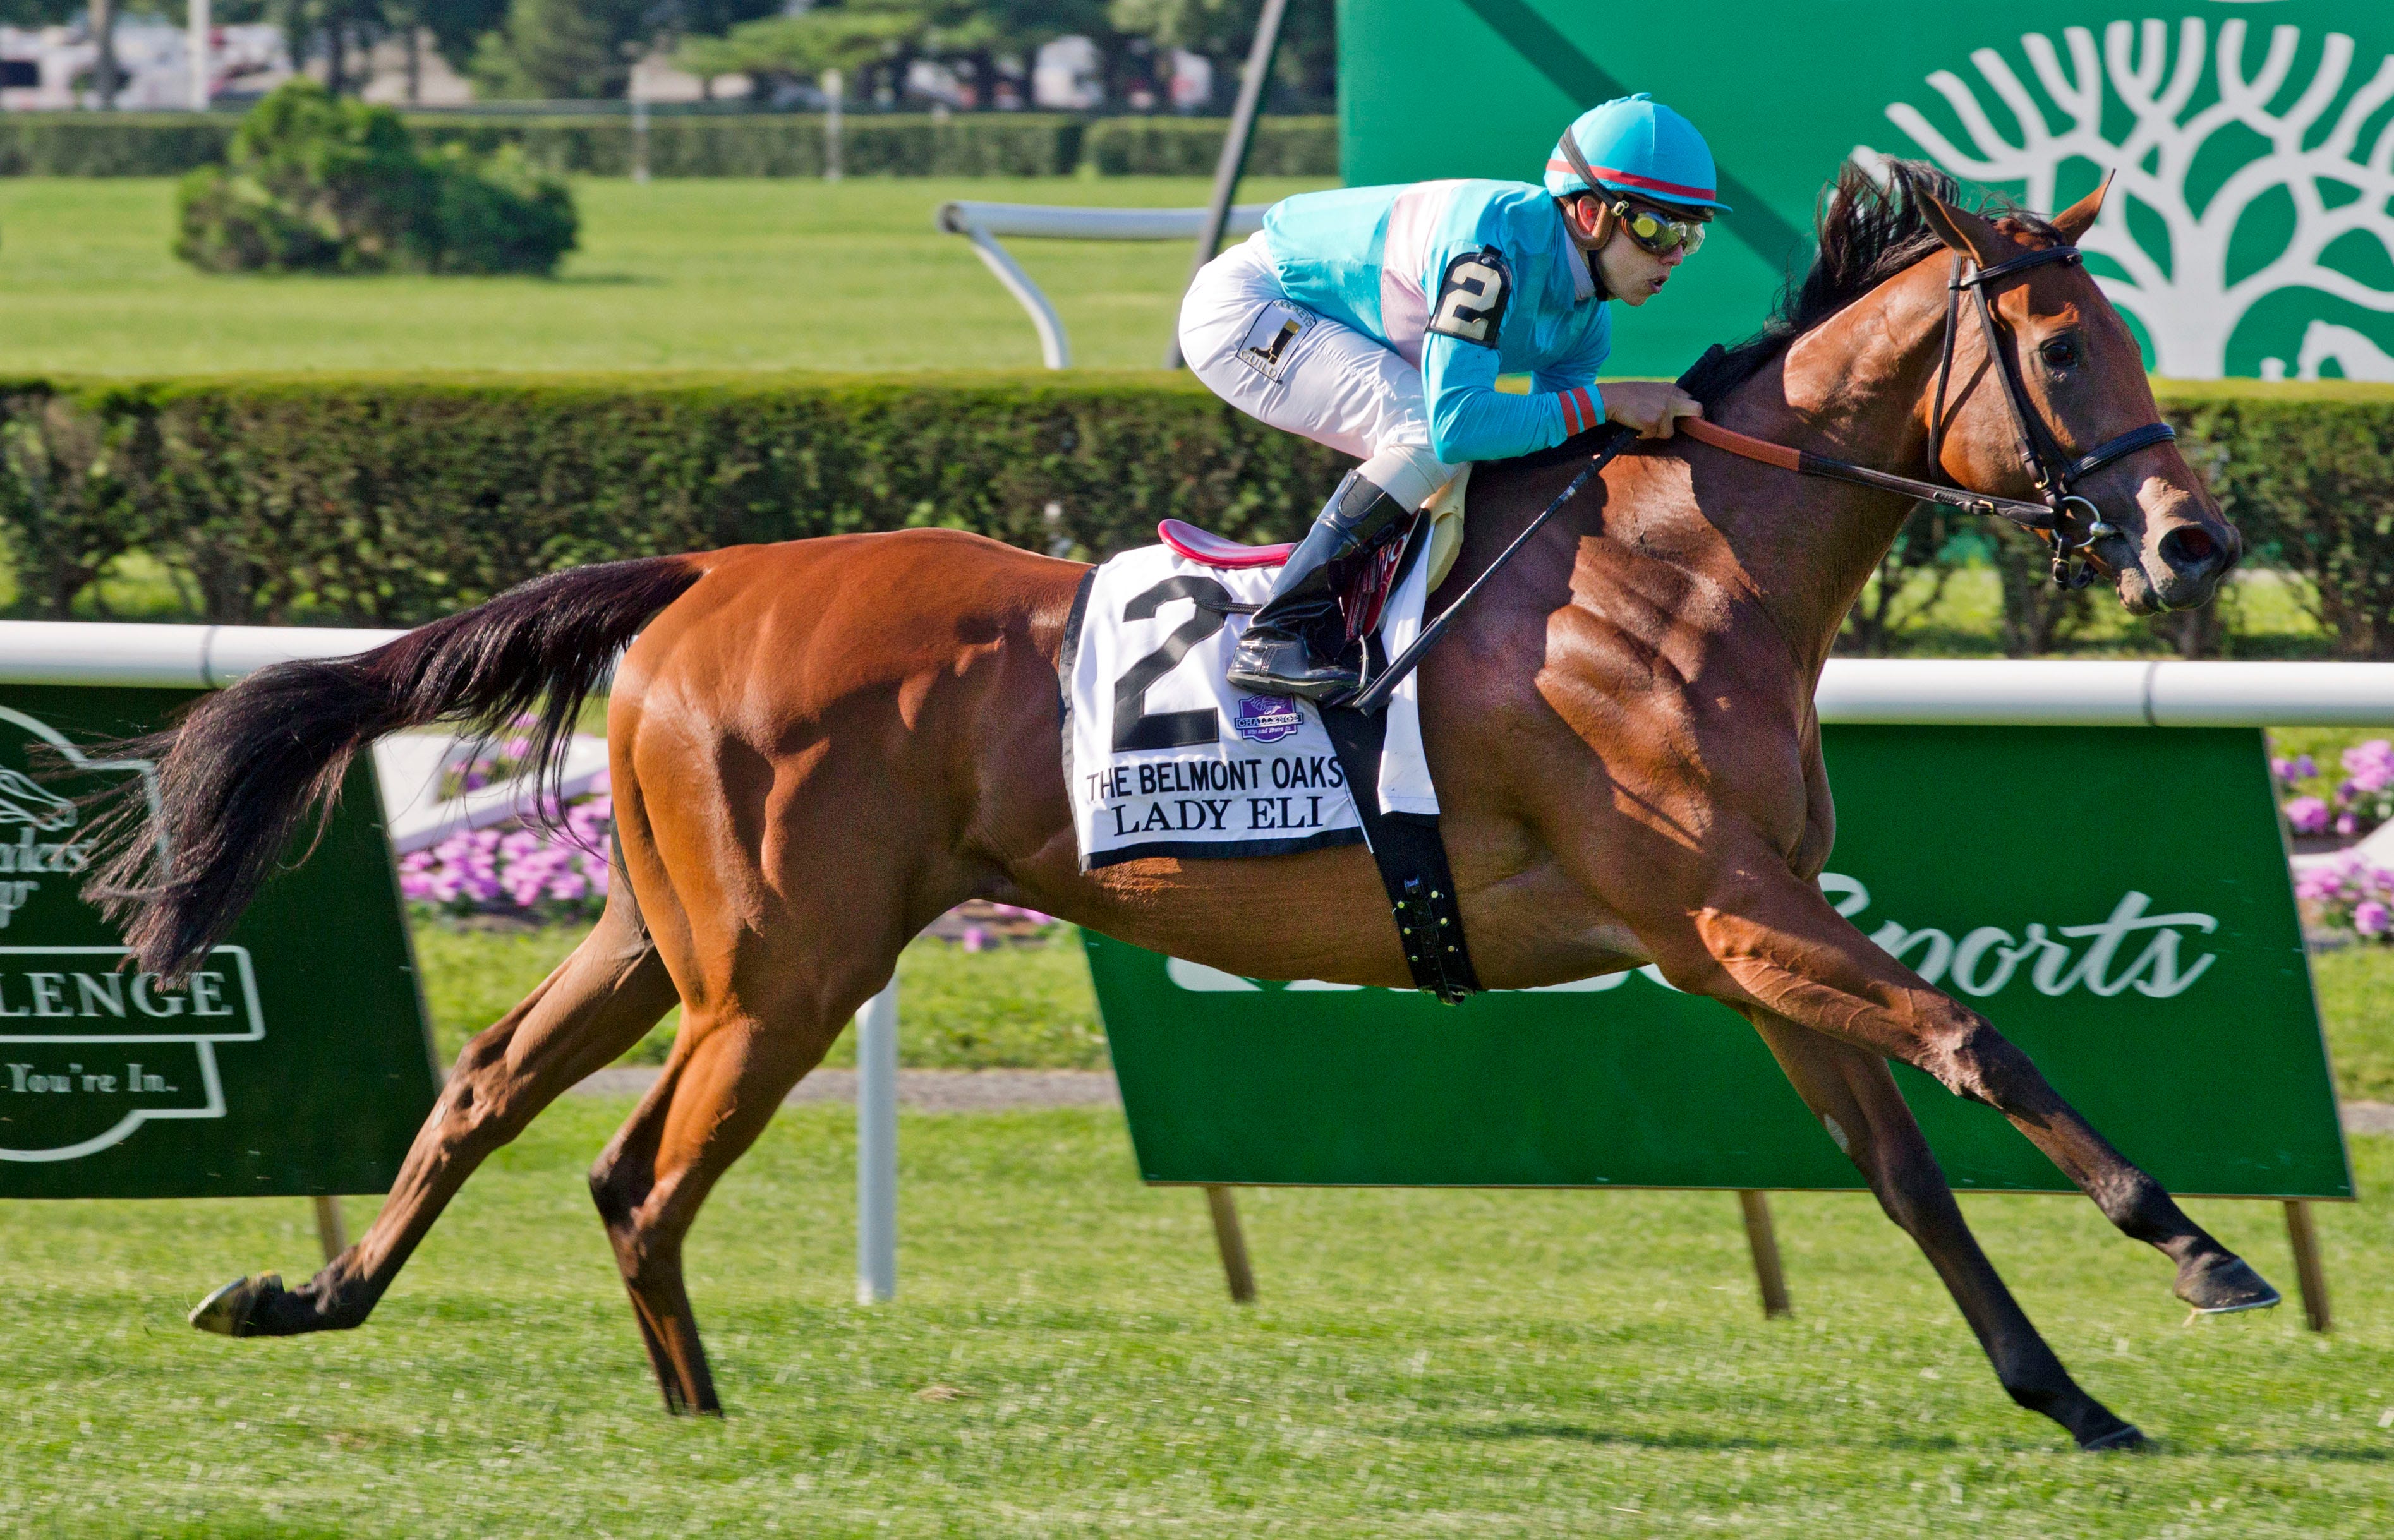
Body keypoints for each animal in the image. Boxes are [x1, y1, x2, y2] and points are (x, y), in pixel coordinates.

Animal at [98, 162, 2259, 1456]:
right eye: (2059, 345)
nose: (2194, 538)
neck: (1674, 569)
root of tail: (706, 571)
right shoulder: (1720, 905)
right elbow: (1974, 1032)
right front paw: (2196, 1248)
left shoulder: (1732, 936)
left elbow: (1901, 1164)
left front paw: (2068, 1394)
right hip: (785, 966)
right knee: (639, 1168)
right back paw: (695, 1412)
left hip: (672, 927)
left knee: (486, 1082)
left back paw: (316, 1295)